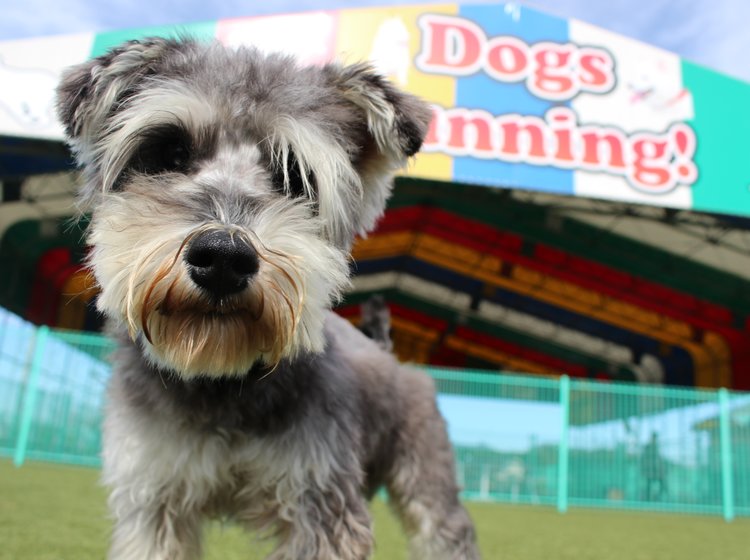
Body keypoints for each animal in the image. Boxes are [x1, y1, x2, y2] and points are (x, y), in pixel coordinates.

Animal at [57, 37, 482, 556]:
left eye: (295, 176)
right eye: (169, 152)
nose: (223, 257)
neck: (221, 379)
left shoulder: (320, 505)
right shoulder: (152, 501)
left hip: (427, 475)